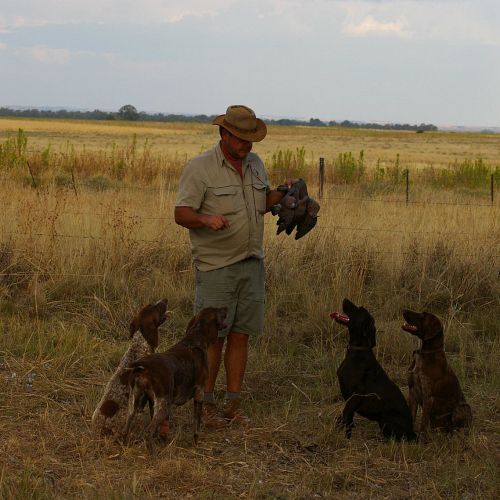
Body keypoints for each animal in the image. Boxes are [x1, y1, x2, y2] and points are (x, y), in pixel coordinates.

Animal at [123, 306, 227, 445]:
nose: (226, 308)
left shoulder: (152, 401)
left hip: (135, 402)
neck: (194, 339)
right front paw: (195, 443)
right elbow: (196, 426)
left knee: (127, 426)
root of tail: (144, 367)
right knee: (148, 432)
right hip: (164, 406)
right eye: (219, 310)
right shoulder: (199, 393)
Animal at [331, 298, 416, 441]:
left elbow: (345, 417)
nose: (345, 299)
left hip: (385, 420)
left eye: (359, 309)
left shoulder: (355, 396)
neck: (358, 350)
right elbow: (347, 420)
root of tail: (412, 432)